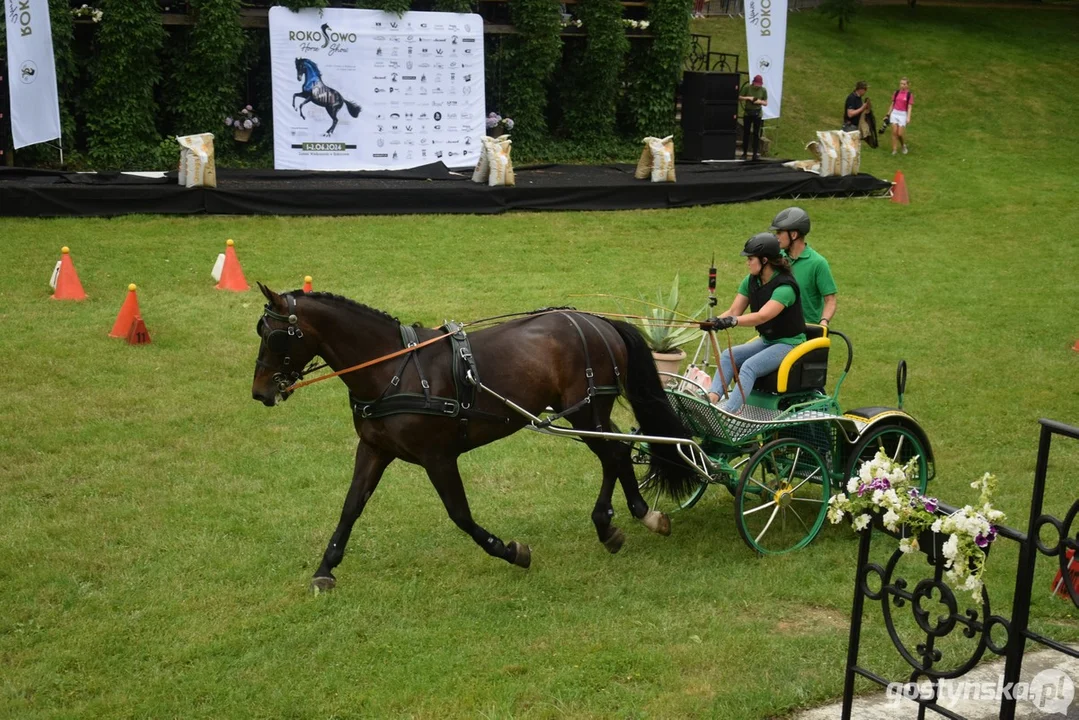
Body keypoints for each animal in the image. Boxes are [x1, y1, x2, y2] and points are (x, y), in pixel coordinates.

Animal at [249, 284, 694, 587]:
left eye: (273, 335)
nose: (259, 391)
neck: (394, 370)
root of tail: (597, 321)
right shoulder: (373, 448)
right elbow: (350, 507)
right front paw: (326, 569)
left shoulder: (438, 457)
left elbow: (460, 515)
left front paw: (511, 551)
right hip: (590, 414)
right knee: (619, 450)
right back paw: (636, 514)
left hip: (587, 411)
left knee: (614, 456)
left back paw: (616, 521)